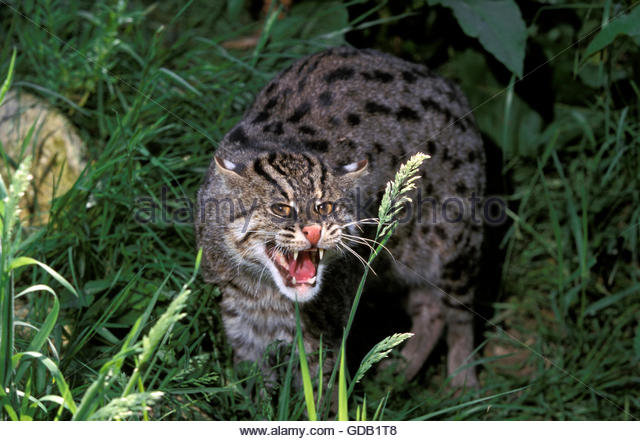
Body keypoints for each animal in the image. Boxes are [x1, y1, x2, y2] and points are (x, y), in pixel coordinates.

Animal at [195, 46, 484, 386]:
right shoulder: (241, 323)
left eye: (326, 207)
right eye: (281, 209)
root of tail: (448, 86)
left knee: (459, 311)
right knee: (430, 308)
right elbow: (254, 388)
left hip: (457, 243)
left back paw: (463, 381)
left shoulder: (325, 335)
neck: (264, 291)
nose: (313, 232)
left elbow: (322, 393)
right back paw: (396, 376)